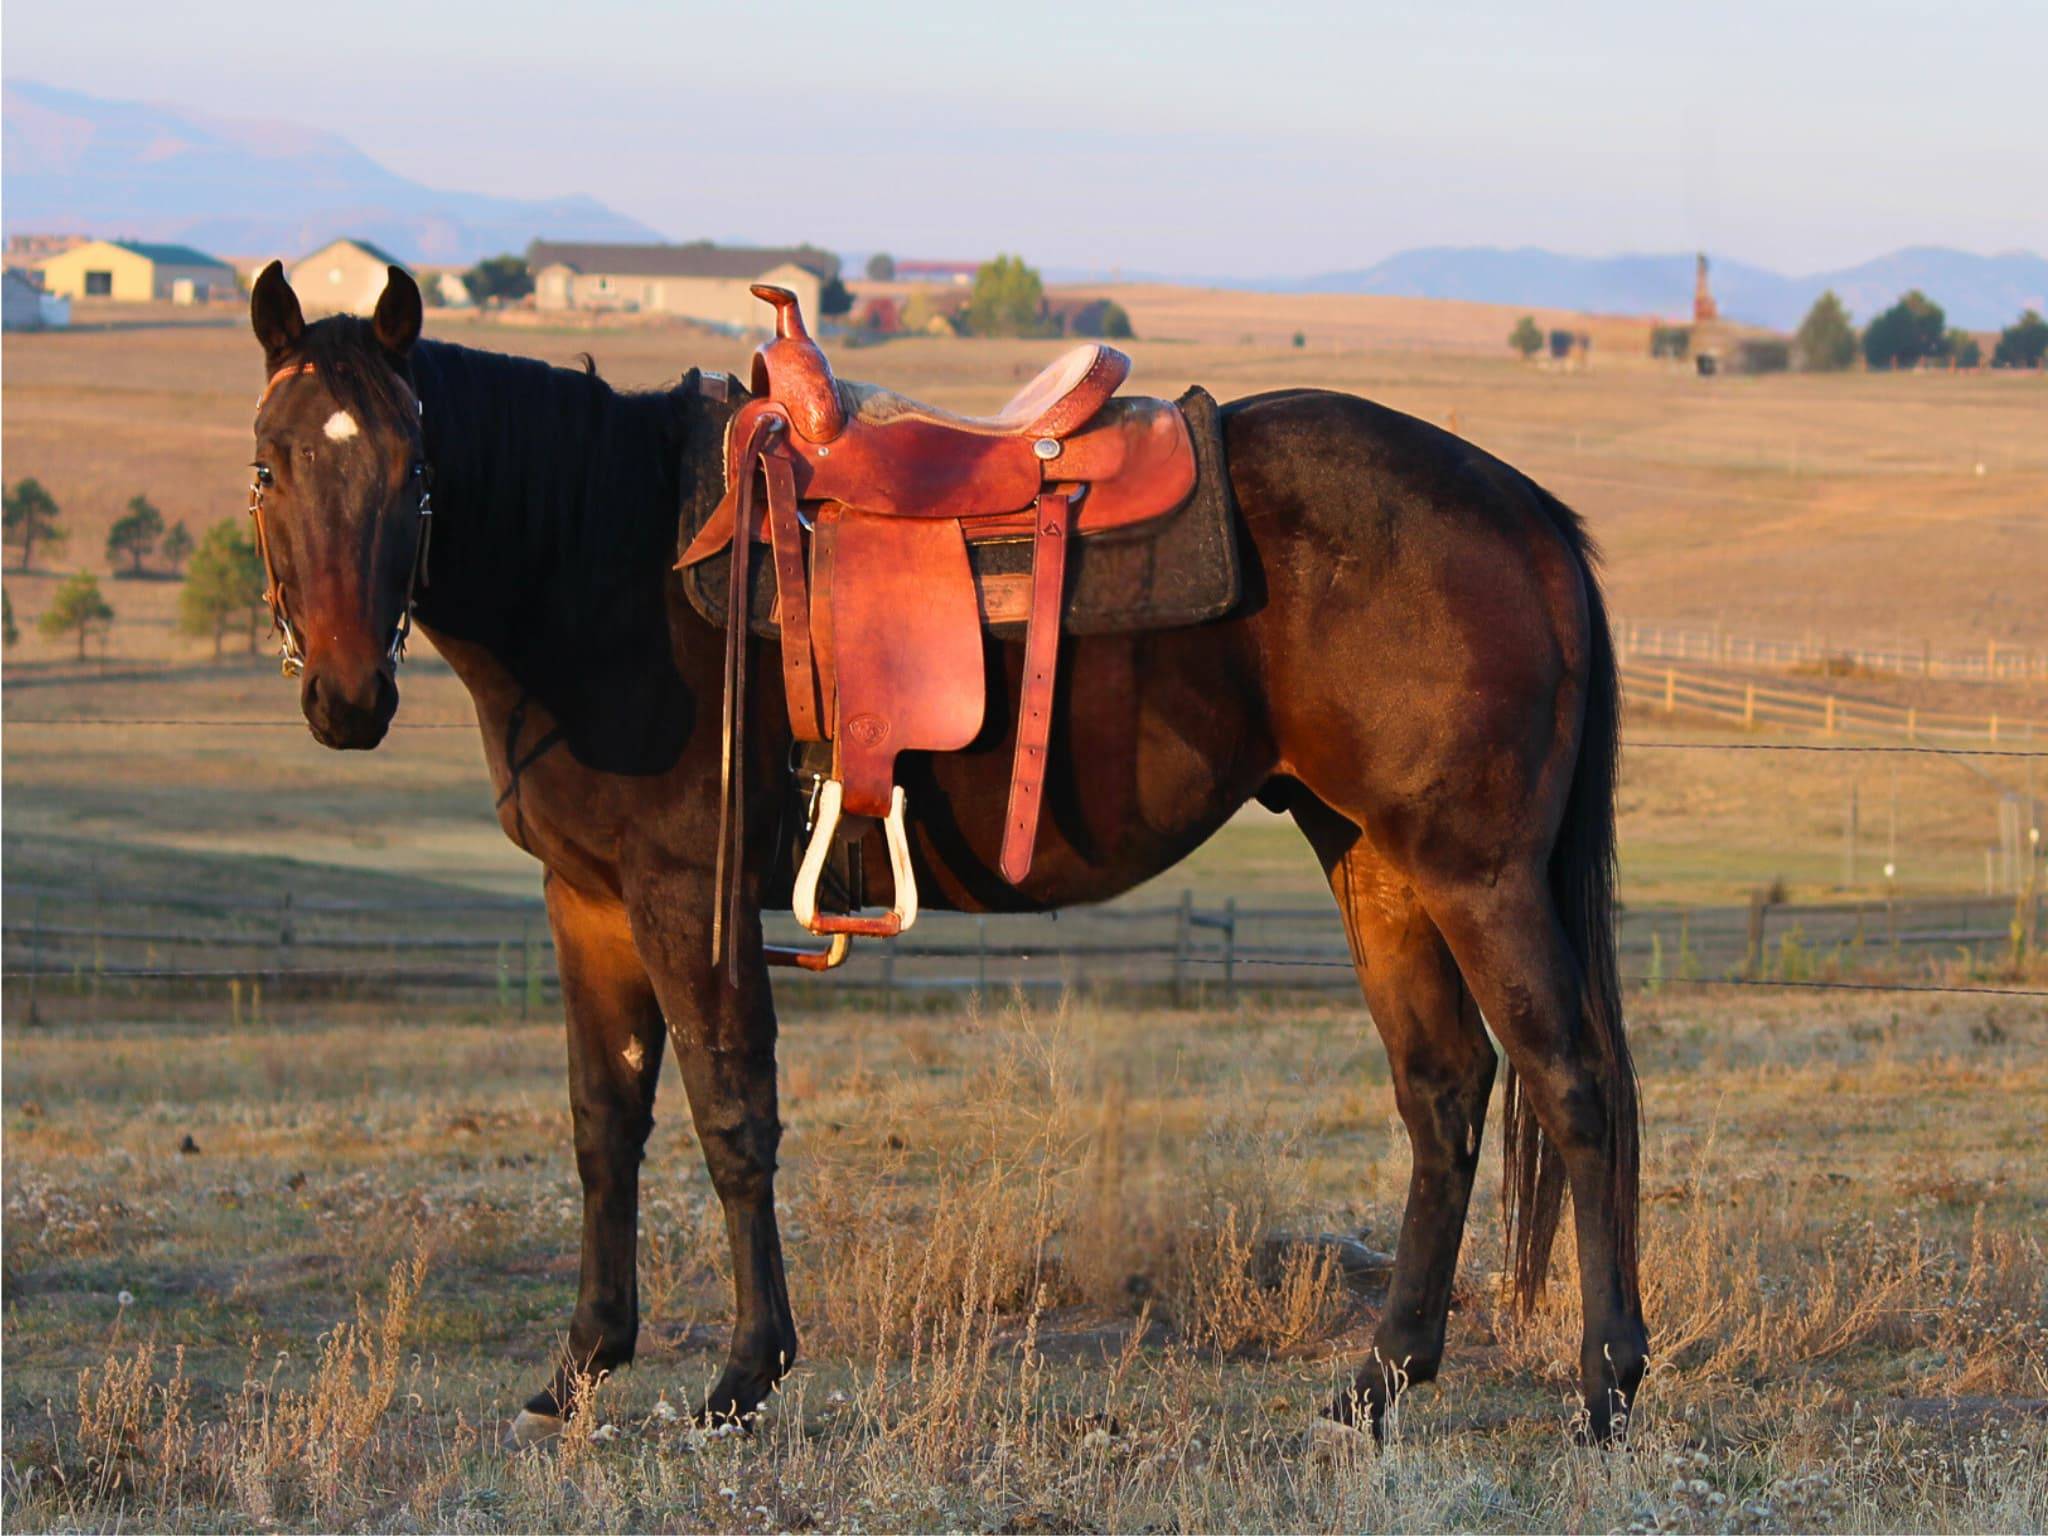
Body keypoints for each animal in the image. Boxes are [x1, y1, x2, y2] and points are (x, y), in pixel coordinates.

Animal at [243, 268, 1646, 1458]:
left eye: (415, 466)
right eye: (268, 464)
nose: (347, 696)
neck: (607, 562)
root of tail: (1523, 513)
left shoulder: (683, 893)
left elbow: (730, 1118)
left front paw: (742, 1376)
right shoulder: (583, 900)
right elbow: (605, 1123)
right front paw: (580, 1366)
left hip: (1475, 873)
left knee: (1573, 1086)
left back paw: (1604, 1388)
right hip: (1374, 862)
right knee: (1444, 1092)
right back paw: (1375, 1387)